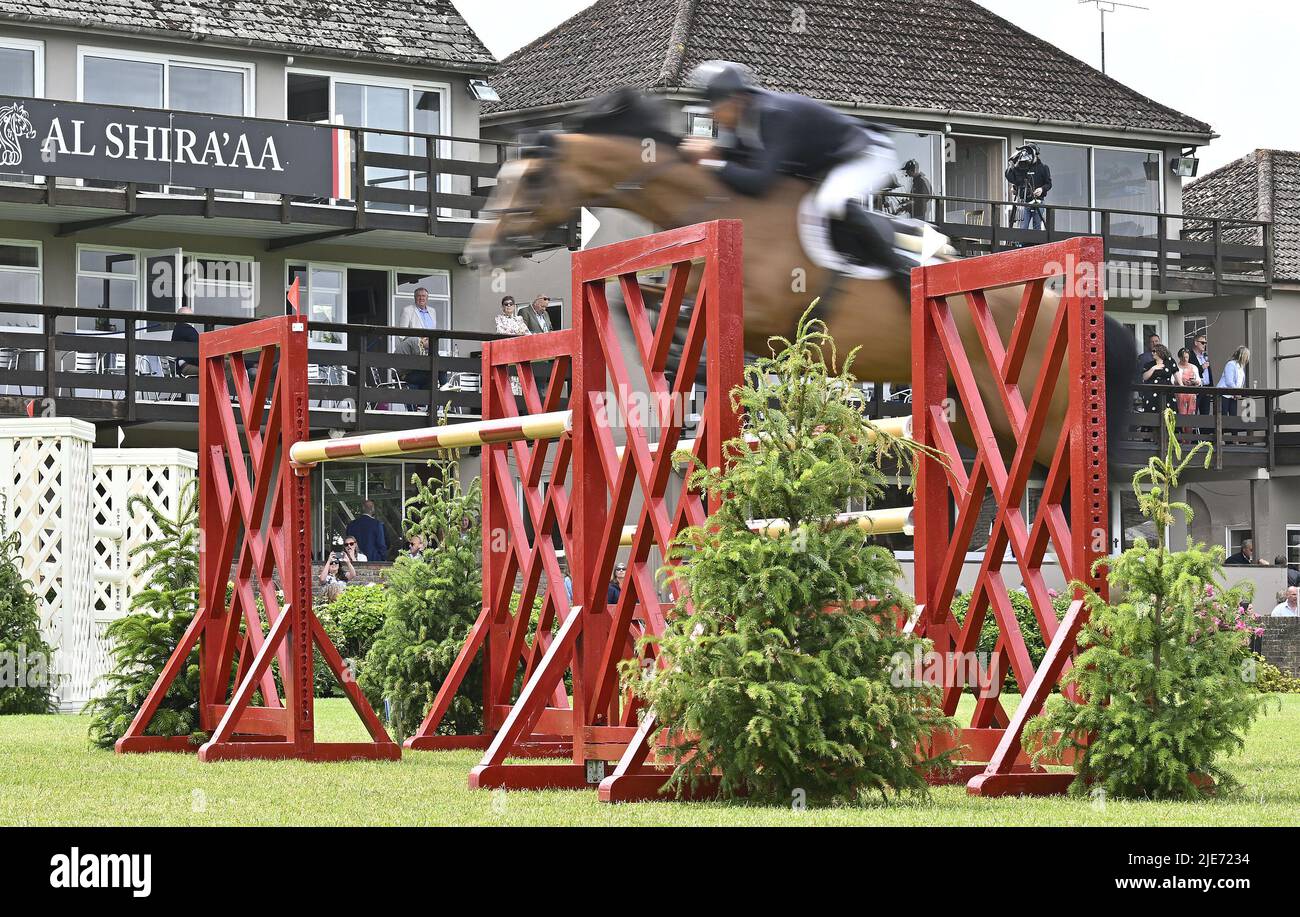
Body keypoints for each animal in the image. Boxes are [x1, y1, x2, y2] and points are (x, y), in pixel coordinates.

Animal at [465, 92, 1128, 468]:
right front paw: (666, 355)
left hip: (1046, 424)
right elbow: (639, 302)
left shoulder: (766, 315)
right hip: (986, 421)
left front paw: (683, 357)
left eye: (530, 180)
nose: (479, 251)